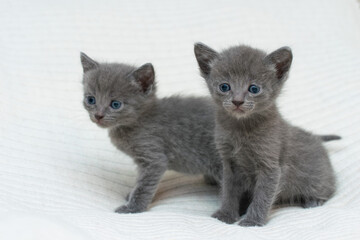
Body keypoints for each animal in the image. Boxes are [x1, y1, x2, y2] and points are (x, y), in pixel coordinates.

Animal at [80, 53, 224, 214]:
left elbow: (144, 186)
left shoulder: (154, 158)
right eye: (90, 99)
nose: (98, 115)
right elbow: (139, 180)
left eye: (116, 104)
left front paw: (133, 207)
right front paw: (131, 195)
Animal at [194, 42, 340, 227]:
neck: (241, 130)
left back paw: (312, 200)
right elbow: (228, 191)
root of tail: (315, 138)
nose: (237, 101)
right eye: (224, 87)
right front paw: (226, 214)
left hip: (318, 179)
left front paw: (252, 220)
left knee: (329, 188)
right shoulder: (229, 164)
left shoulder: (270, 166)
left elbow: (263, 196)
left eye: (254, 88)